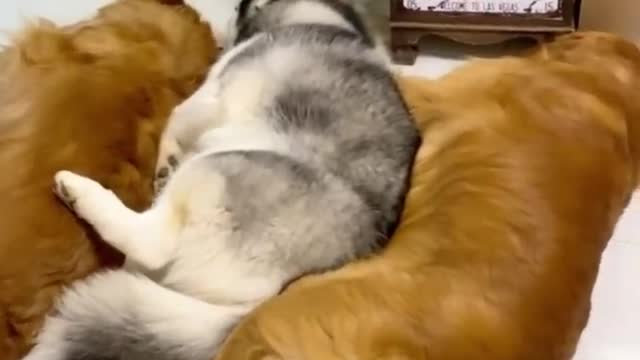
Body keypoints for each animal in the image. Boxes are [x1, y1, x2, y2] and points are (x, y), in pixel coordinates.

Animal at [25, 0, 422, 360]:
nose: (230, 15)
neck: (326, 19)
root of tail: (274, 290)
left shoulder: (212, 93)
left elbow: (176, 116)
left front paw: (166, 154)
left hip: (213, 167)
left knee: (150, 242)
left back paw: (80, 191)